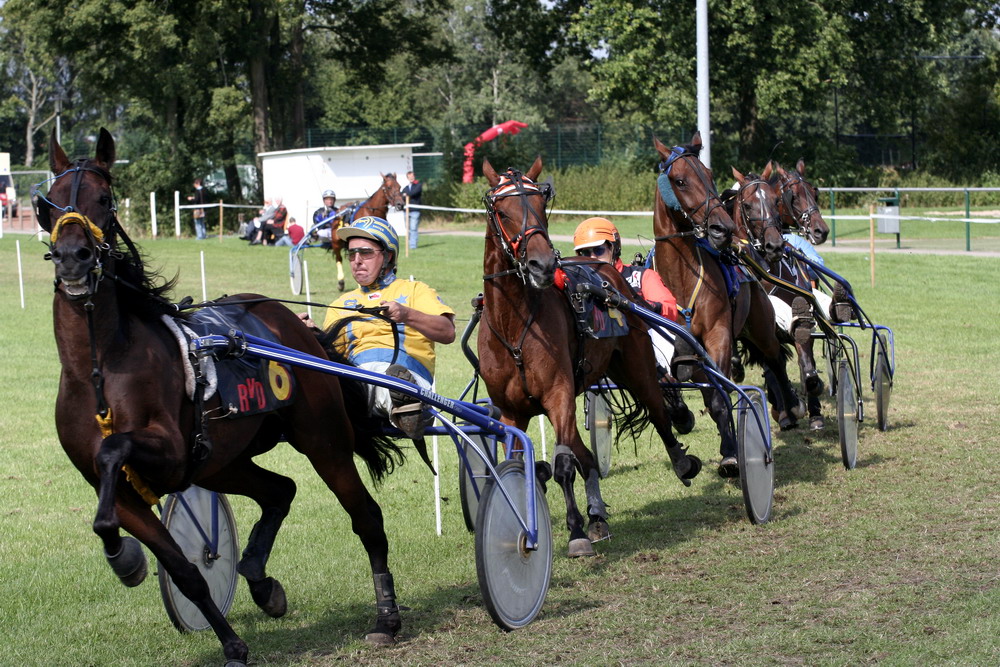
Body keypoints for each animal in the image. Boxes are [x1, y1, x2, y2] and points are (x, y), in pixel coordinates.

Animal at [36, 128, 406, 664]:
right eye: (47, 201)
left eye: (103, 199)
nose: (72, 259)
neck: (99, 370)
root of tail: (290, 320)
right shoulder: (125, 493)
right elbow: (180, 568)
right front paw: (229, 641)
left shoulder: (169, 451)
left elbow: (113, 450)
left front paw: (125, 559)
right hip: (222, 462)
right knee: (280, 490)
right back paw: (260, 581)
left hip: (323, 440)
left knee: (366, 517)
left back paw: (387, 617)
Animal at [478, 157, 704, 560]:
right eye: (502, 212)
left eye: (541, 205)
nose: (540, 264)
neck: (514, 324)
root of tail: (609, 274)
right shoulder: (511, 410)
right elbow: (525, 462)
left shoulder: (559, 395)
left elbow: (564, 465)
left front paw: (575, 531)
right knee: (587, 456)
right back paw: (596, 515)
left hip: (635, 364)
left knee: (657, 411)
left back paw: (680, 462)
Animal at [648, 133, 804, 474]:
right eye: (680, 180)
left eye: (709, 175)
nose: (722, 228)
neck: (681, 277)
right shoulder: (668, 344)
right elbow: (671, 387)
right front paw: (683, 417)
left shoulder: (717, 334)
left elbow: (719, 398)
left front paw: (731, 453)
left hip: (759, 326)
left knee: (775, 357)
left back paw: (792, 406)